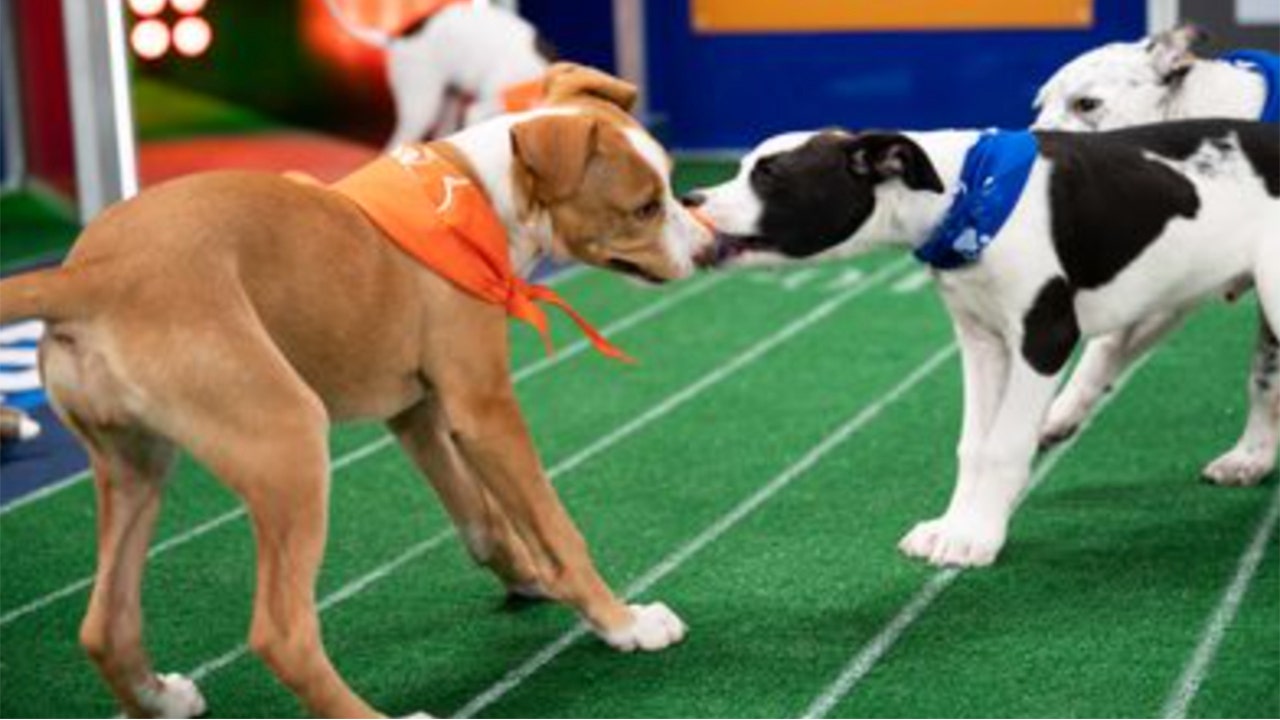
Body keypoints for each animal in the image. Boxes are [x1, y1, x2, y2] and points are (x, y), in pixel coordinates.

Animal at [0, 64, 711, 712]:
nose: (708, 249)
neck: (482, 197)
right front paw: (622, 622)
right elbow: (558, 526)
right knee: (281, 634)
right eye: (645, 207)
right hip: (285, 440)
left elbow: (483, 519)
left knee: (104, 625)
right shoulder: (484, 409)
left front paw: (532, 580)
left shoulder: (419, 413)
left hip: (136, 467)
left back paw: (161, 698)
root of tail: (91, 273)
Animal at [691, 119, 1280, 566]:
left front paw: (976, 537)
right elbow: (974, 445)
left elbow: (1003, 445)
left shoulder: (1043, 338)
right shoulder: (981, 339)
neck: (968, 192)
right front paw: (956, 524)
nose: (690, 197)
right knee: (1260, 379)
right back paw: (1249, 458)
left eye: (770, 174)